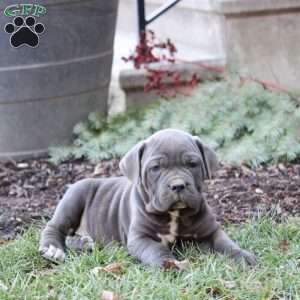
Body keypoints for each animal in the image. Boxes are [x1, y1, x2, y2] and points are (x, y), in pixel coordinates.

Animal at [38, 129, 256, 268]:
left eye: (193, 164)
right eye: (156, 168)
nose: (178, 185)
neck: (174, 214)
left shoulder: (211, 231)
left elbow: (227, 244)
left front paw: (243, 256)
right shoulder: (140, 238)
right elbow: (156, 250)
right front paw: (168, 264)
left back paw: (84, 242)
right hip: (75, 196)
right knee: (54, 227)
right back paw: (53, 249)